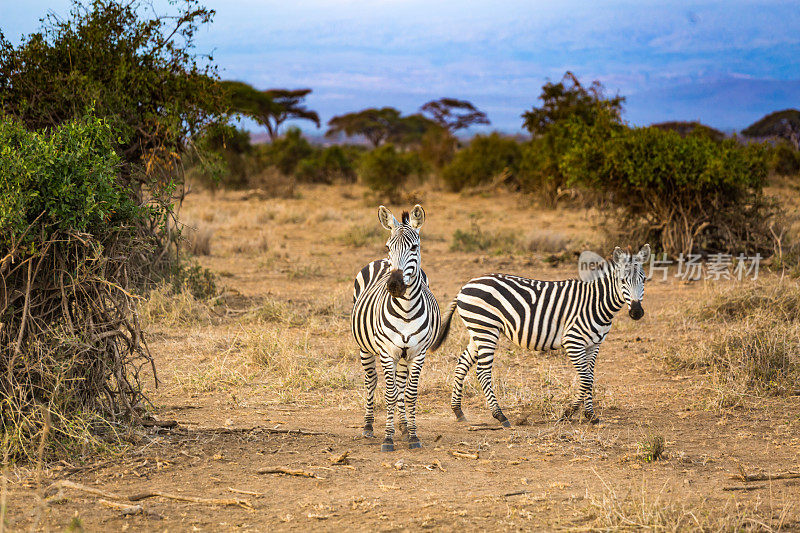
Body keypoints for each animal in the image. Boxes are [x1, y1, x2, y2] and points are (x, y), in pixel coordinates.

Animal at [350, 206, 440, 450]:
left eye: (414, 247)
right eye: (388, 246)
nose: (394, 285)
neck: (406, 311)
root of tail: (381, 261)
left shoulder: (418, 353)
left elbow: (409, 394)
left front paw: (413, 435)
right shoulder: (386, 352)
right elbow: (390, 394)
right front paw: (388, 438)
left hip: (404, 354)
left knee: (400, 385)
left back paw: (404, 425)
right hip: (366, 348)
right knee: (371, 380)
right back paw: (368, 426)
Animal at [432, 244, 648, 424]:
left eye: (644, 280)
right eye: (622, 281)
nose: (637, 312)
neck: (596, 303)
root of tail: (465, 285)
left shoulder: (594, 345)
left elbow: (590, 377)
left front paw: (590, 415)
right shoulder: (573, 341)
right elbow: (586, 379)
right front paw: (569, 412)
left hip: (477, 330)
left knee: (462, 363)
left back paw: (458, 411)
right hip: (487, 329)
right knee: (483, 371)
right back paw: (500, 415)